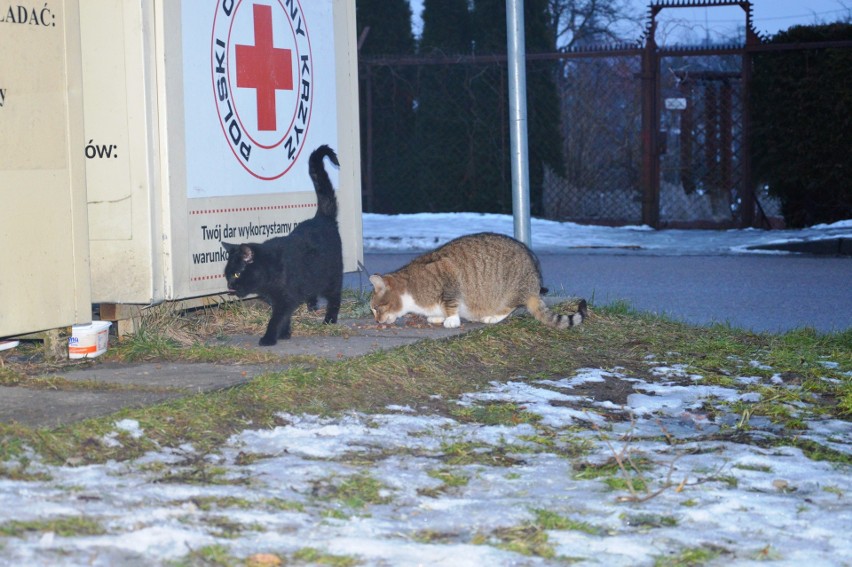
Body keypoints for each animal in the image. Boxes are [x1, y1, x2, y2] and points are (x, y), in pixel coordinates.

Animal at [223, 145, 342, 346]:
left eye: (237, 274)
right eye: (226, 275)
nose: (230, 286)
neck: (270, 269)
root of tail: (321, 217)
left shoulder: (284, 299)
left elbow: (276, 319)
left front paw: (269, 338)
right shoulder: (279, 300)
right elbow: (284, 318)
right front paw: (285, 334)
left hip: (331, 277)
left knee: (335, 297)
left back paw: (330, 320)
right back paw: (312, 305)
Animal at [370, 231, 588, 328]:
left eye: (376, 308)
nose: (377, 321)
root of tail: (535, 282)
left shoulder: (448, 279)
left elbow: (451, 303)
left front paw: (451, 319)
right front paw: (438, 316)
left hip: (511, 290)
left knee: (512, 305)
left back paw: (493, 316)